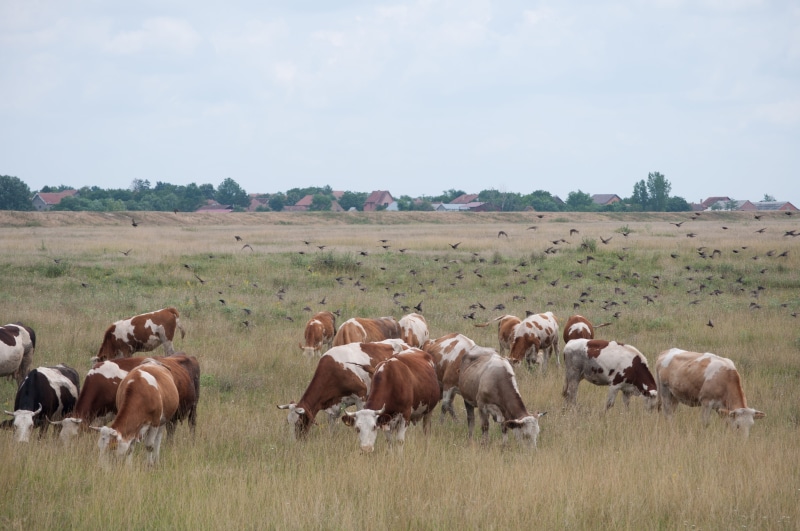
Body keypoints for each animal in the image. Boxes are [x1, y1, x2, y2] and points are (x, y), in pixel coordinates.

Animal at [53, 354, 200, 442]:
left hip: (193, 407)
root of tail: (186, 356)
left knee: (192, 425)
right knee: (171, 428)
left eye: (74, 436)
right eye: (60, 438)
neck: (102, 383)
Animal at [277, 339, 409, 440]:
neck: (334, 371)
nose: (293, 442)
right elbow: (331, 427)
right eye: (288, 422)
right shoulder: (332, 405)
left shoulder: (361, 397)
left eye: (299, 422)